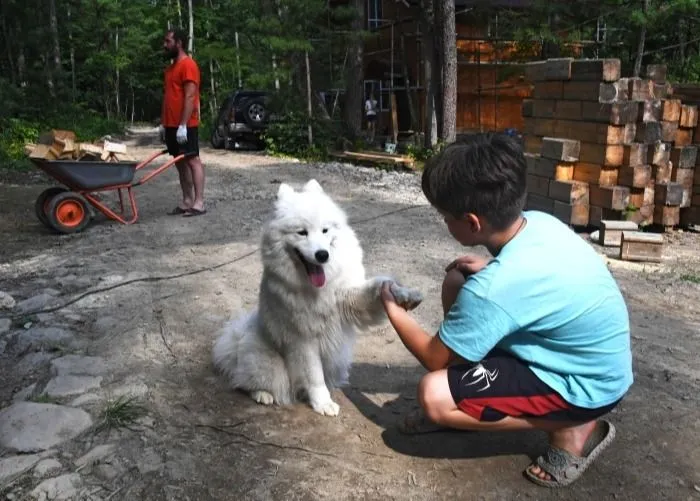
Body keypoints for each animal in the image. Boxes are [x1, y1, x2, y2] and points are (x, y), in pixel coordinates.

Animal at [211, 179, 424, 414]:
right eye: (301, 232)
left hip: (338, 360)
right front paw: (323, 403)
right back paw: (262, 394)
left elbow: (381, 284)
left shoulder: (351, 299)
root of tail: (237, 337)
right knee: (245, 381)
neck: (322, 287)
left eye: (325, 230)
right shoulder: (304, 338)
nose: (322, 255)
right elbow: (314, 376)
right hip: (269, 364)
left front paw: (405, 294)